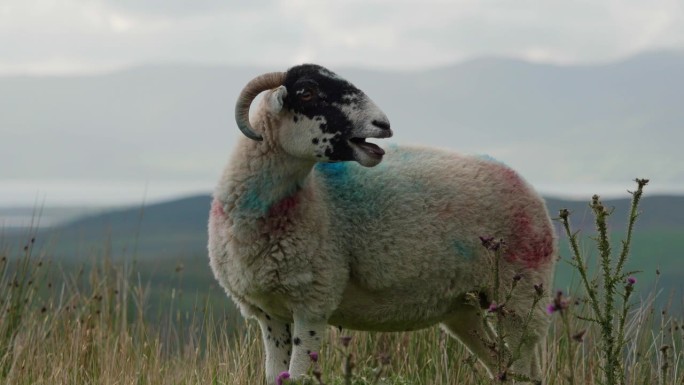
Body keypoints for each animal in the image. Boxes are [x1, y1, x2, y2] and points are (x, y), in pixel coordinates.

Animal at [207, 64, 556, 382]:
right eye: (307, 92)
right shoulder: (269, 312)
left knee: (525, 368)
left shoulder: (313, 303)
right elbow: (275, 376)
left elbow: (298, 377)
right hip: (465, 307)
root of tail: (530, 189)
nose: (383, 124)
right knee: (501, 364)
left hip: (521, 293)